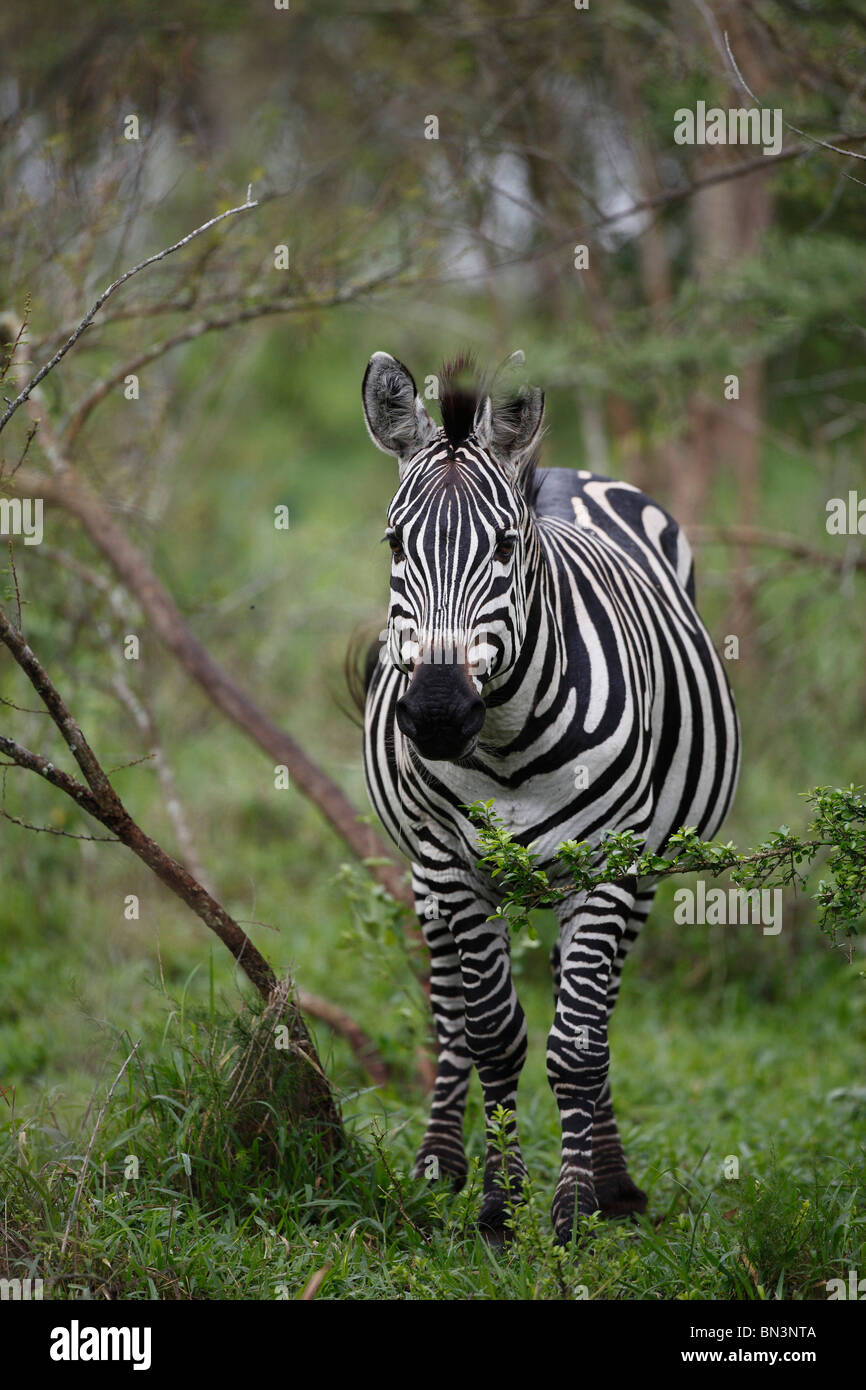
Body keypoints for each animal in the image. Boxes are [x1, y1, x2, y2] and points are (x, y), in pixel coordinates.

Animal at [358, 353, 739, 1245]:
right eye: (394, 543)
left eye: (504, 546)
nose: (436, 715)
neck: (505, 738)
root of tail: (561, 470)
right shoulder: (451, 865)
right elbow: (494, 1035)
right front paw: (500, 1207)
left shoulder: (608, 865)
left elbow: (577, 1045)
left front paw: (573, 1209)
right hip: (427, 878)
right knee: (450, 1012)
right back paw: (440, 1163)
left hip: (634, 875)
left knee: (592, 1014)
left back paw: (613, 1178)